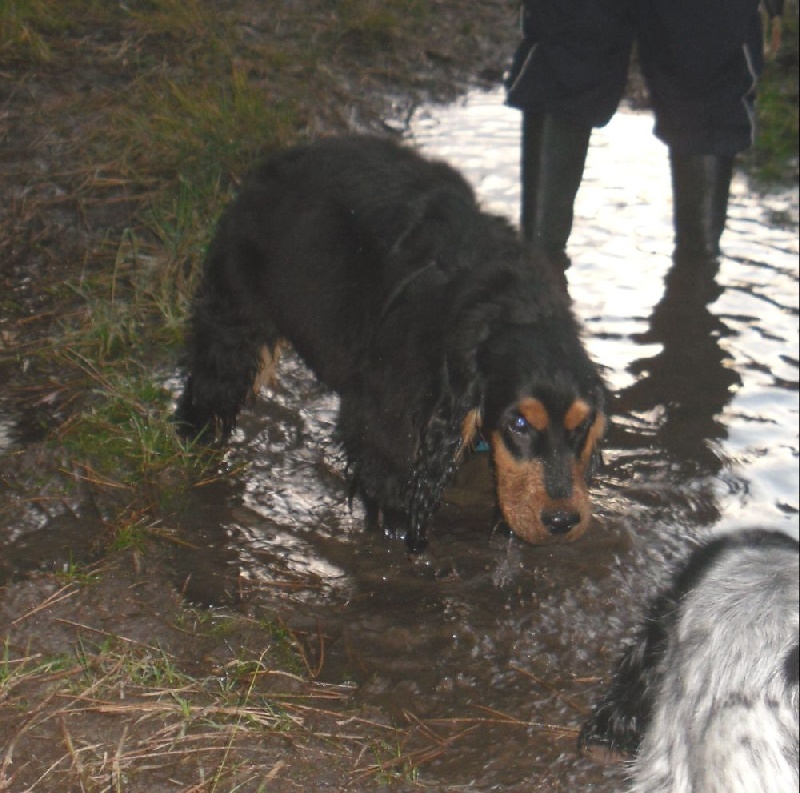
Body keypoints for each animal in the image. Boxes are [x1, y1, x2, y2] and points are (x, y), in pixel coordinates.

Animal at [175, 136, 608, 552]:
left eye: (584, 424)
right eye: (518, 423)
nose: (562, 522)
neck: (509, 307)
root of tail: (281, 158)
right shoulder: (386, 418)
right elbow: (393, 489)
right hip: (237, 314)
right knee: (213, 379)